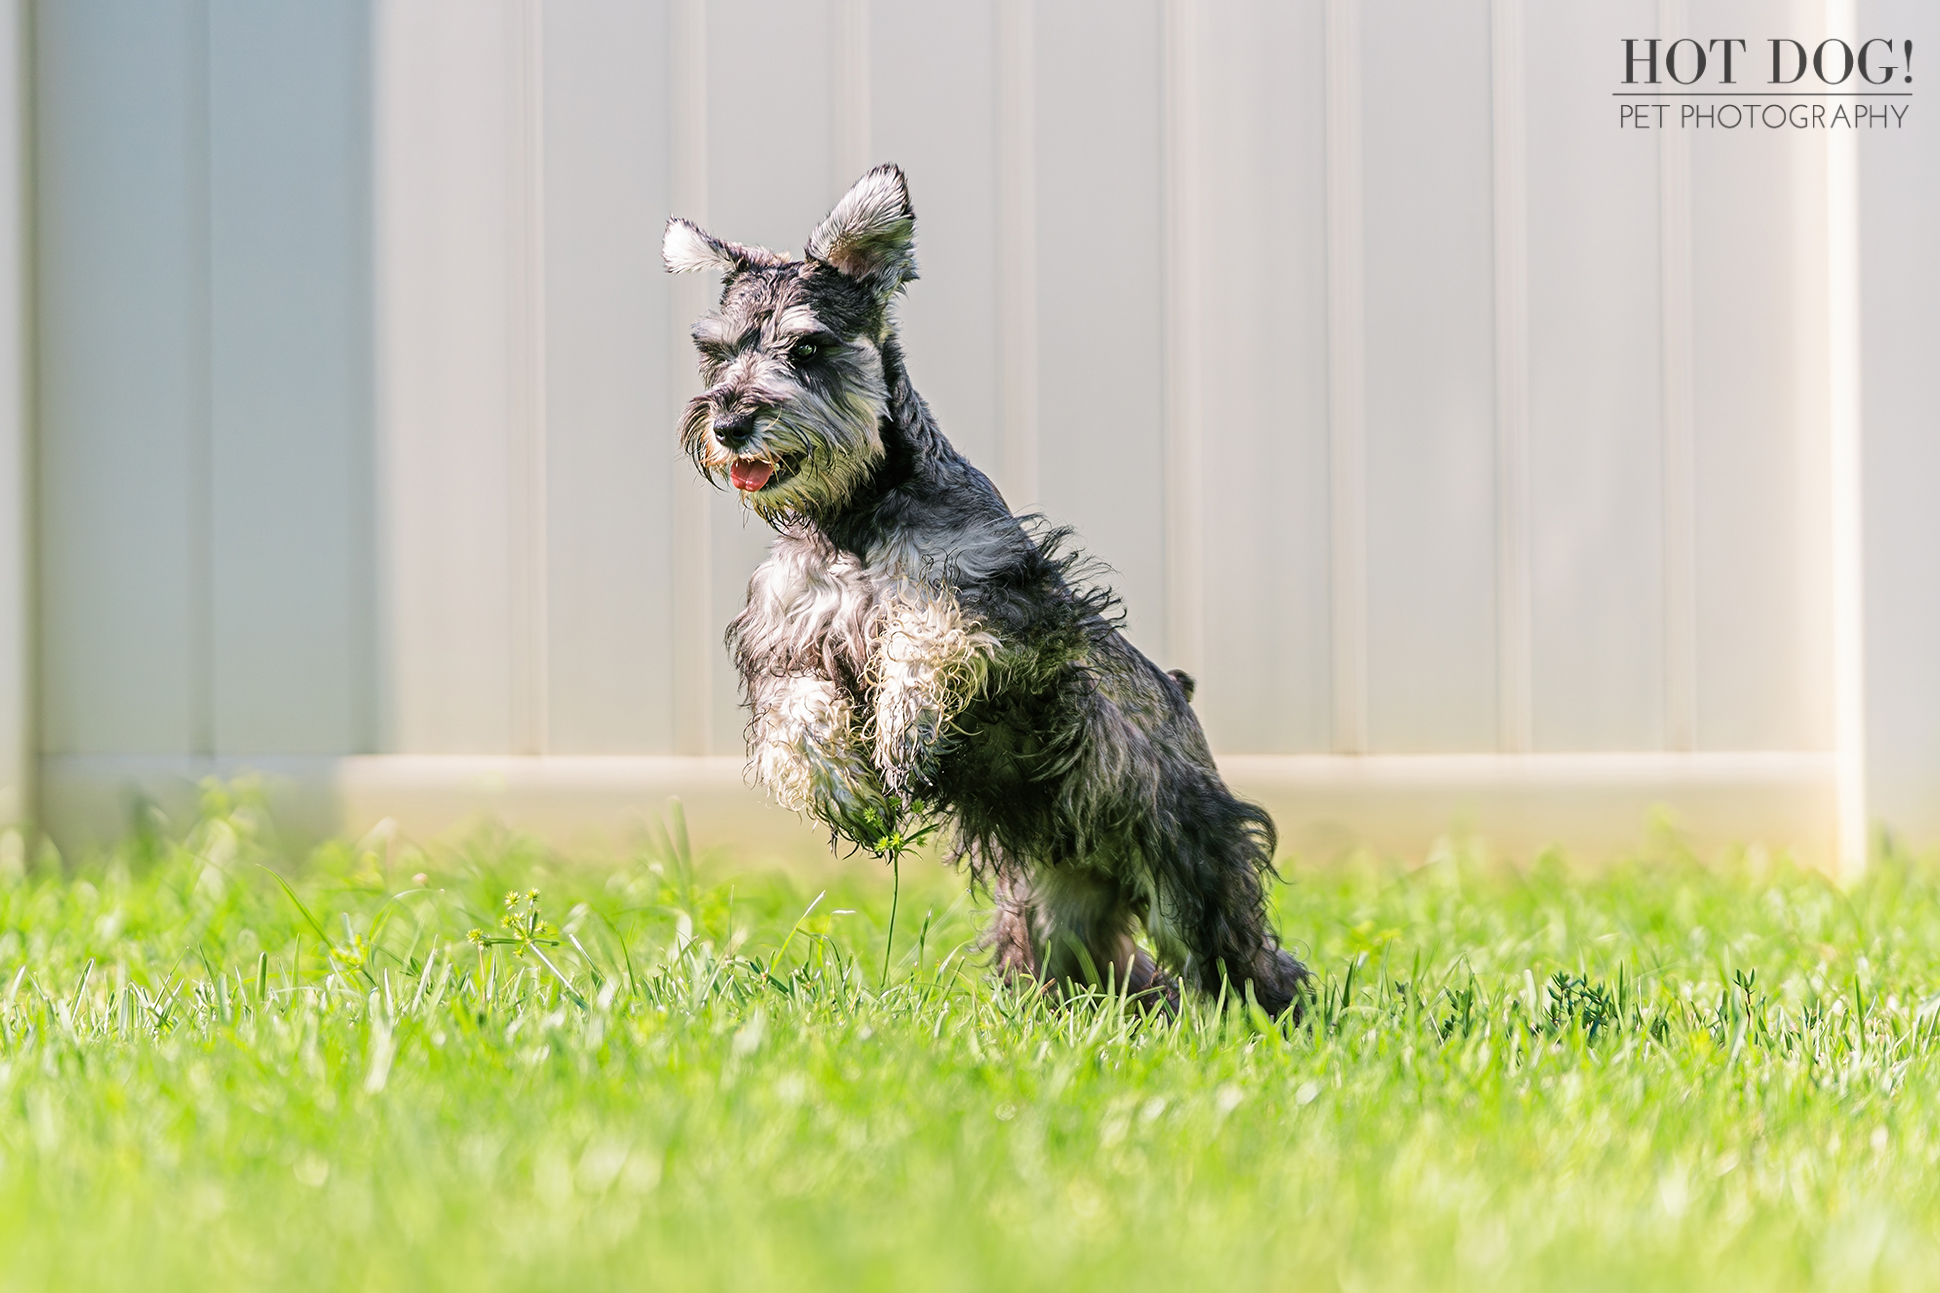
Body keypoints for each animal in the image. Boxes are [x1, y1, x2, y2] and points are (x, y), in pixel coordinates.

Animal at [659, 164, 1311, 1017]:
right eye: (716, 351)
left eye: (808, 347)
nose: (731, 421)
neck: (852, 515)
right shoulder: (784, 640)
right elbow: (797, 717)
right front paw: (851, 795)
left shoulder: (1014, 603)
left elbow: (926, 630)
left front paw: (903, 731)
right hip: (1052, 900)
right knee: (1105, 967)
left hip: (1187, 859)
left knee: (1239, 956)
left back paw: (1270, 1016)